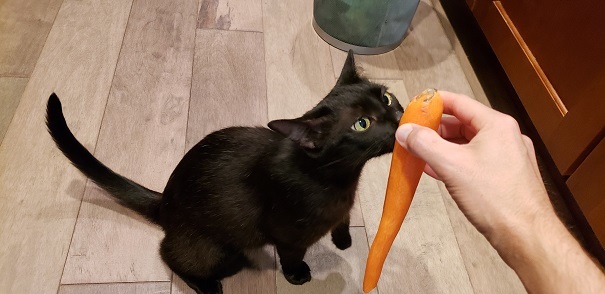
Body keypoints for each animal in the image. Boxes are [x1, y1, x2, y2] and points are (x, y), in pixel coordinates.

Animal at [46, 51, 402, 294]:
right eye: (362, 124)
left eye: (386, 96)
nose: (398, 116)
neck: (341, 177)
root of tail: (165, 201)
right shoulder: (285, 233)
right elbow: (291, 254)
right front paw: (297, 275)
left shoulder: (344, 208)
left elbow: (342, 222)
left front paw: (343, 240)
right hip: (213, 249)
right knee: (169, 255)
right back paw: (208, 285)